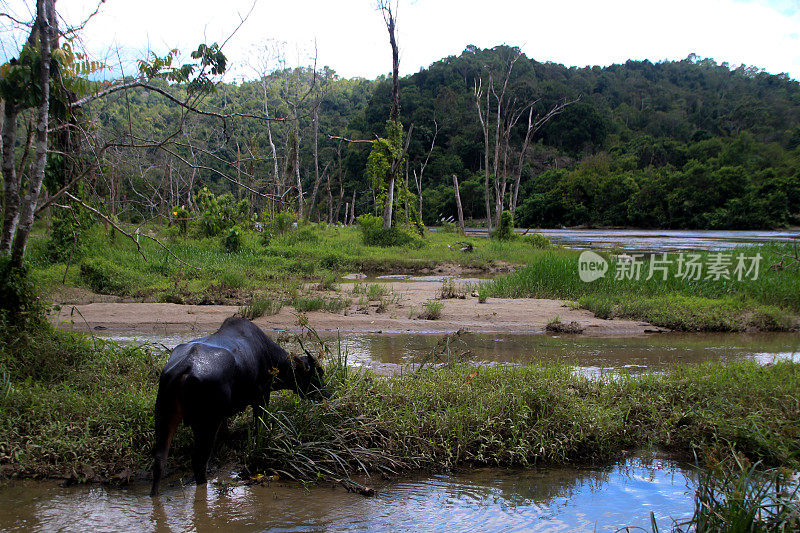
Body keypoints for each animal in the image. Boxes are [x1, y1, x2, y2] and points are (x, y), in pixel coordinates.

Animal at [152, 316, 330, 494]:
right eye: (316, 373)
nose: (326, 394)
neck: (269, 357)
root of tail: (185, 366)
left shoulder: (224, 416)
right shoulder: (261, 398)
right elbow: (259, 426)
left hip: (164, 415)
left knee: (160, 459)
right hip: (206, 422)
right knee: (199, 460)